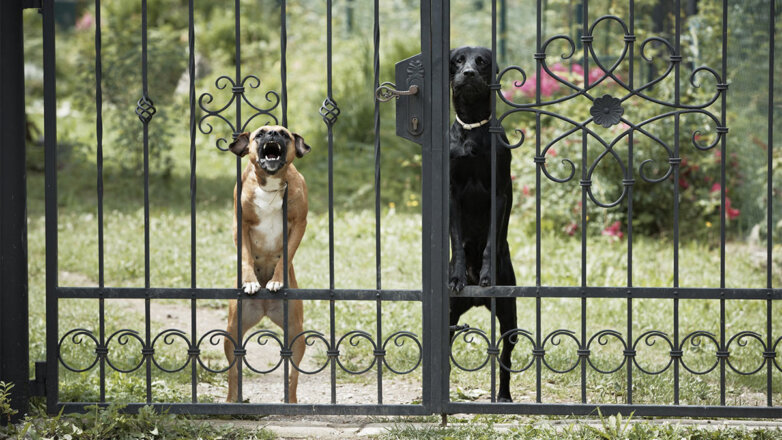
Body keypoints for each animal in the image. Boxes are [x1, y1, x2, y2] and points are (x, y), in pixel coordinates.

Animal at [224, 125, 310, 404]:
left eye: (284, 134)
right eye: (260, 134)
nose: (272, 133)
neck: (270, 185)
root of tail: (264, 307)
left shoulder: (299, 224)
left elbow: (285, 256)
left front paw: (277, 280)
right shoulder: (239, 225)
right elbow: (246, 256)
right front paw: (250, 281)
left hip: (296, 335)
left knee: (292, 376)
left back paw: (290, 402)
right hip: (232, 333)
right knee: (233, 373)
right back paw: (232, 401)